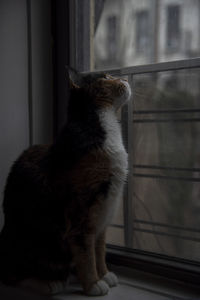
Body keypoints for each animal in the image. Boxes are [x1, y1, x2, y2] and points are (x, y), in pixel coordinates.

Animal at [0, 69, 131, 296]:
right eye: (106, 77)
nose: (125, 78)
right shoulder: (81, 212)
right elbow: (86, 252)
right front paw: (93, 283)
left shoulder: (104, 213)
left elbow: (100, 248)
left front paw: (104, 274)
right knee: (12, 275)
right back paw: (48, 283)